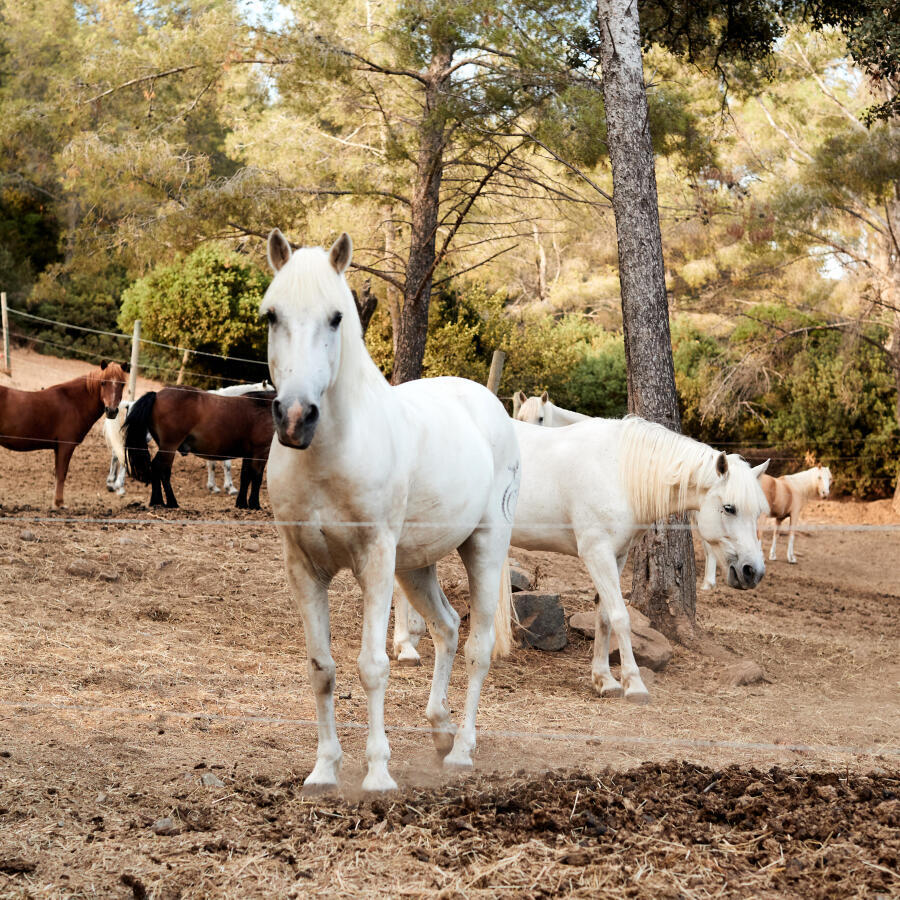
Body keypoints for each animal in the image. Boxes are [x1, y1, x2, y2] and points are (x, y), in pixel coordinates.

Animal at [0, 362, 130, 510]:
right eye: (103, 382)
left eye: (122, 384)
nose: (111, 411)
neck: (73, 402)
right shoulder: (65, 447)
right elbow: (62, 474)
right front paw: (59, 503)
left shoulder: (58, 448)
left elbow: (58, 474)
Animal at [124, 384, 274, 510]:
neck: (263, 406)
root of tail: (157, 395)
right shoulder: (261, 453)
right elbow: (257, 477)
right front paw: (255, 504)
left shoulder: (249, 454)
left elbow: (245, 477)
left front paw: (241, 504)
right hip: (169, 446)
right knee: (161, 469)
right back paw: (170, 502)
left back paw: (158, 501)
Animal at [262, 229, 520, 792]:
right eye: (271, 315)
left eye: (336, 317)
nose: (295, 418)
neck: (331, 454)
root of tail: (488, 403)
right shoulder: (304, 567)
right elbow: (322, 667)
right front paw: (324, 769)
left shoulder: (374, 562)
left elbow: (372, 666)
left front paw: (378, 773)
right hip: (416, 566)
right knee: (447, 626)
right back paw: (441, 728)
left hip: (483, 548)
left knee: (478, 645)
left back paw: (462, 749)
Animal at [398, 414, 768, 704]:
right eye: (729, 507)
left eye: (758, 512)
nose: (753, 571)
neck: (619, 472)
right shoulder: (596, 552)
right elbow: (621, 616)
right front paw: (634, 684)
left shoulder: (616, 556)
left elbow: (603, 615)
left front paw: (604, 680)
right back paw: (404, 647)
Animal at [700, 464, 832, 592]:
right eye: (819, 477)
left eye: (830, 479)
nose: (825, 493)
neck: (796, 487)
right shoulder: (794, 515)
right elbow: (791, 536)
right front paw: (791, 558)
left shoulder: (779, 518)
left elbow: (776, 535)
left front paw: (772, 555)